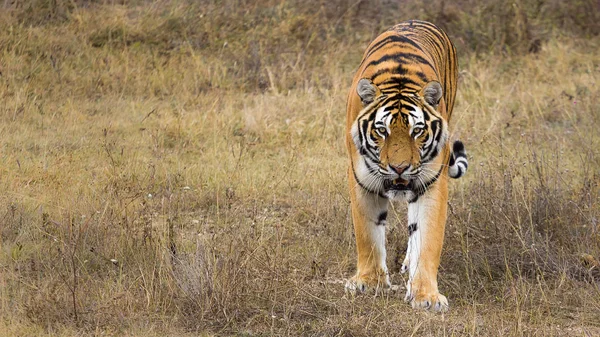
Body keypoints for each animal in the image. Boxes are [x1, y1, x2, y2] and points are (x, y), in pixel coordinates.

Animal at [342, 19, 468, 312]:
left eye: (417, 131)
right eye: (382, 130)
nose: (399, 168)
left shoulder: (432, 183)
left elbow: (427, 238)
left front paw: (427, 296)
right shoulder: (362, 180)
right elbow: (367, 233)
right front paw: (369, 282)